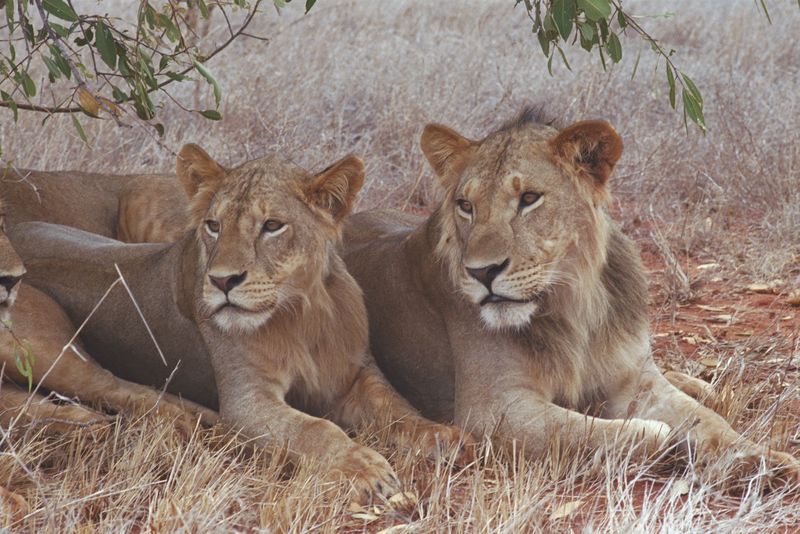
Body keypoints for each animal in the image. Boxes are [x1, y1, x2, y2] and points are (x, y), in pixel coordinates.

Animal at [8, 145, 471, 501]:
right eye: (213, 226)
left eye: (272, 226)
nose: (222, 281)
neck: (301, 314)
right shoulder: (249, 401)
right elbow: (314, 429)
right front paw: (367, 470)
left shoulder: (356, 376)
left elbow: (401, 411)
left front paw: (448, 439)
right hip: (43, 349)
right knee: (117, 392)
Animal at [341, 109, 800, 483]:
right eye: (465, 205)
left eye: (529, 198)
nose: (482, 272)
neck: (572, 304)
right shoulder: (492, 408)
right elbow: (595, 432)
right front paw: (663, 439)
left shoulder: (636, 381)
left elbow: (708, 423)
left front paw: (765, 461)